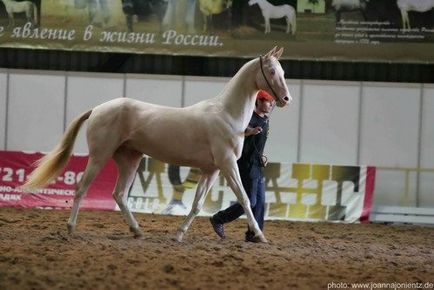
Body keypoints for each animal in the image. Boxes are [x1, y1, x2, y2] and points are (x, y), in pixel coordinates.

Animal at [25, 47, 294, 242]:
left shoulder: (212, 170)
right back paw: (71, 228)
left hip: (130, 159)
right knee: (81, 188)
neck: (226, 114)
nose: (285, 99)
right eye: (271, 71)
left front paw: (179, 235)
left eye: (282, 70)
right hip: (99, 156)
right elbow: (245, 199)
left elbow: (197, 205)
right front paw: (260, 235)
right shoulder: (228, 165)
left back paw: (137, 231)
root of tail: (98, 108)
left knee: (119, 194)